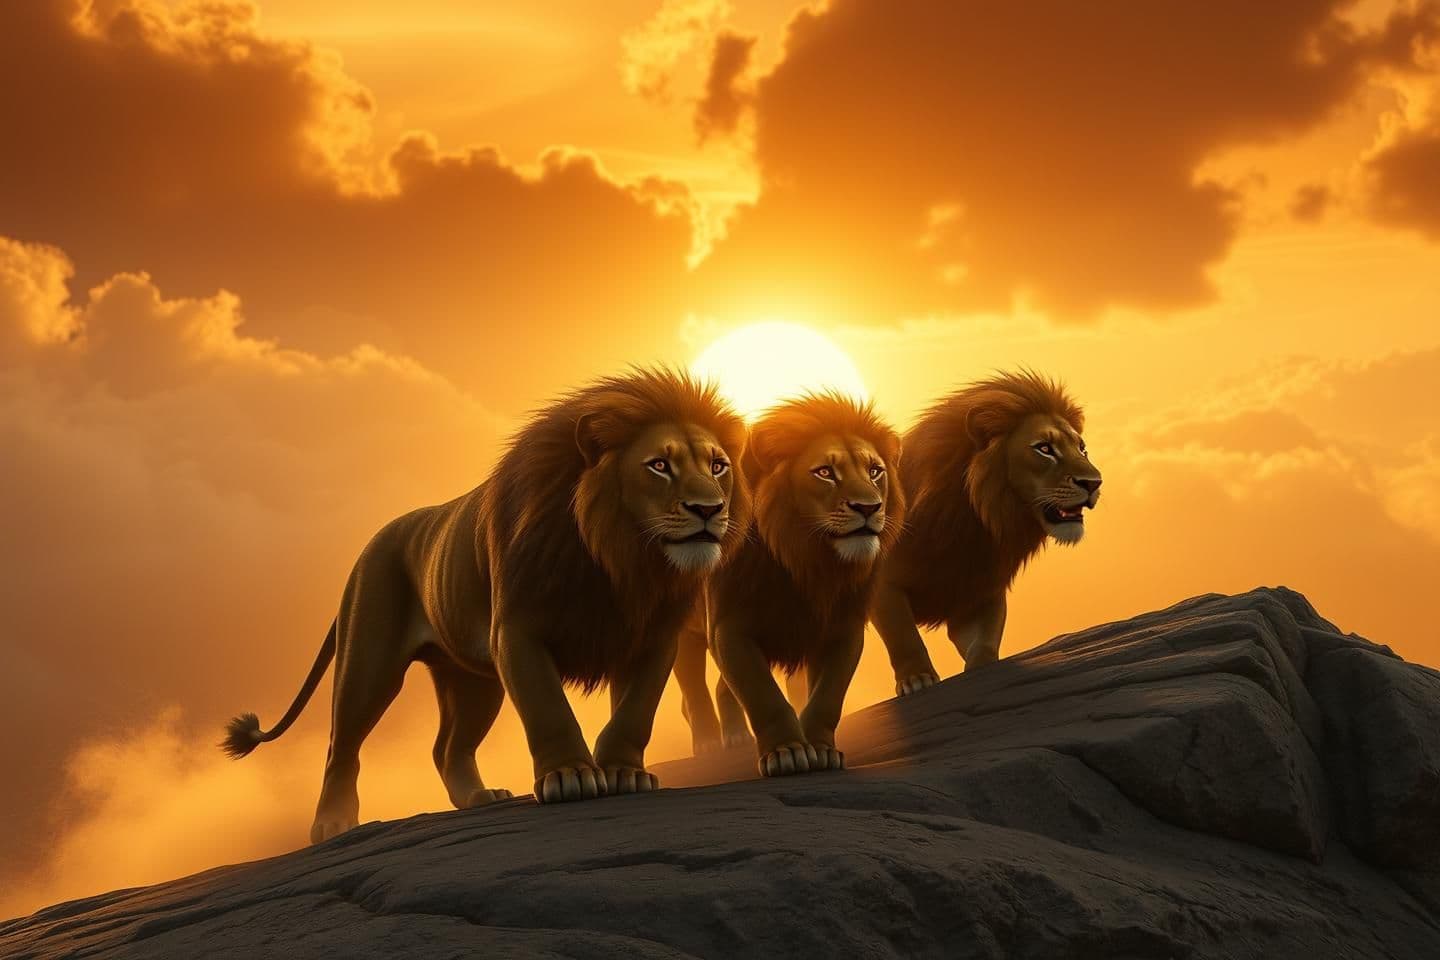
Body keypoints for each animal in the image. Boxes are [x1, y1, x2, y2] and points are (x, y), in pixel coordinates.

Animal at [221, 368, 751, 842]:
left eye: (717, 466)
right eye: (659, 465)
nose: (709, 510)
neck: (622, 559)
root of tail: (372, 544)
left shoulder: (651, 636)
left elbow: (635, 711)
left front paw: (622, 772)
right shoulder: (518, 630)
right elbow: (548, 707)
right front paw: (571, 776)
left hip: (473, 681)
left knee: (447, 749)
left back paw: (479, 798)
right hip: (368, 662)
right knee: (341, 745)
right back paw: (332, 825)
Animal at [674, 393, 904, 775]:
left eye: (875, 471)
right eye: (825, 472)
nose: (869, 507)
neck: (808, 561)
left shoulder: (843, 627)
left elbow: (827, 695)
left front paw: (821, 749)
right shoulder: (728, 627)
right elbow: (762, 694)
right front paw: (788, 752)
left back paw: (736, 736)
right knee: (693, 689)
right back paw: (708, 744)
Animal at [870, 370, 1101, 695]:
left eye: (1082, 448)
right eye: (1044, 448)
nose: (1094, 483)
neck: (976, 524)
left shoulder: (979, 591)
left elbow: (985, 642)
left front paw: (984, 672)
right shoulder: (884, 585)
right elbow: (903, 635)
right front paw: (916, 679)